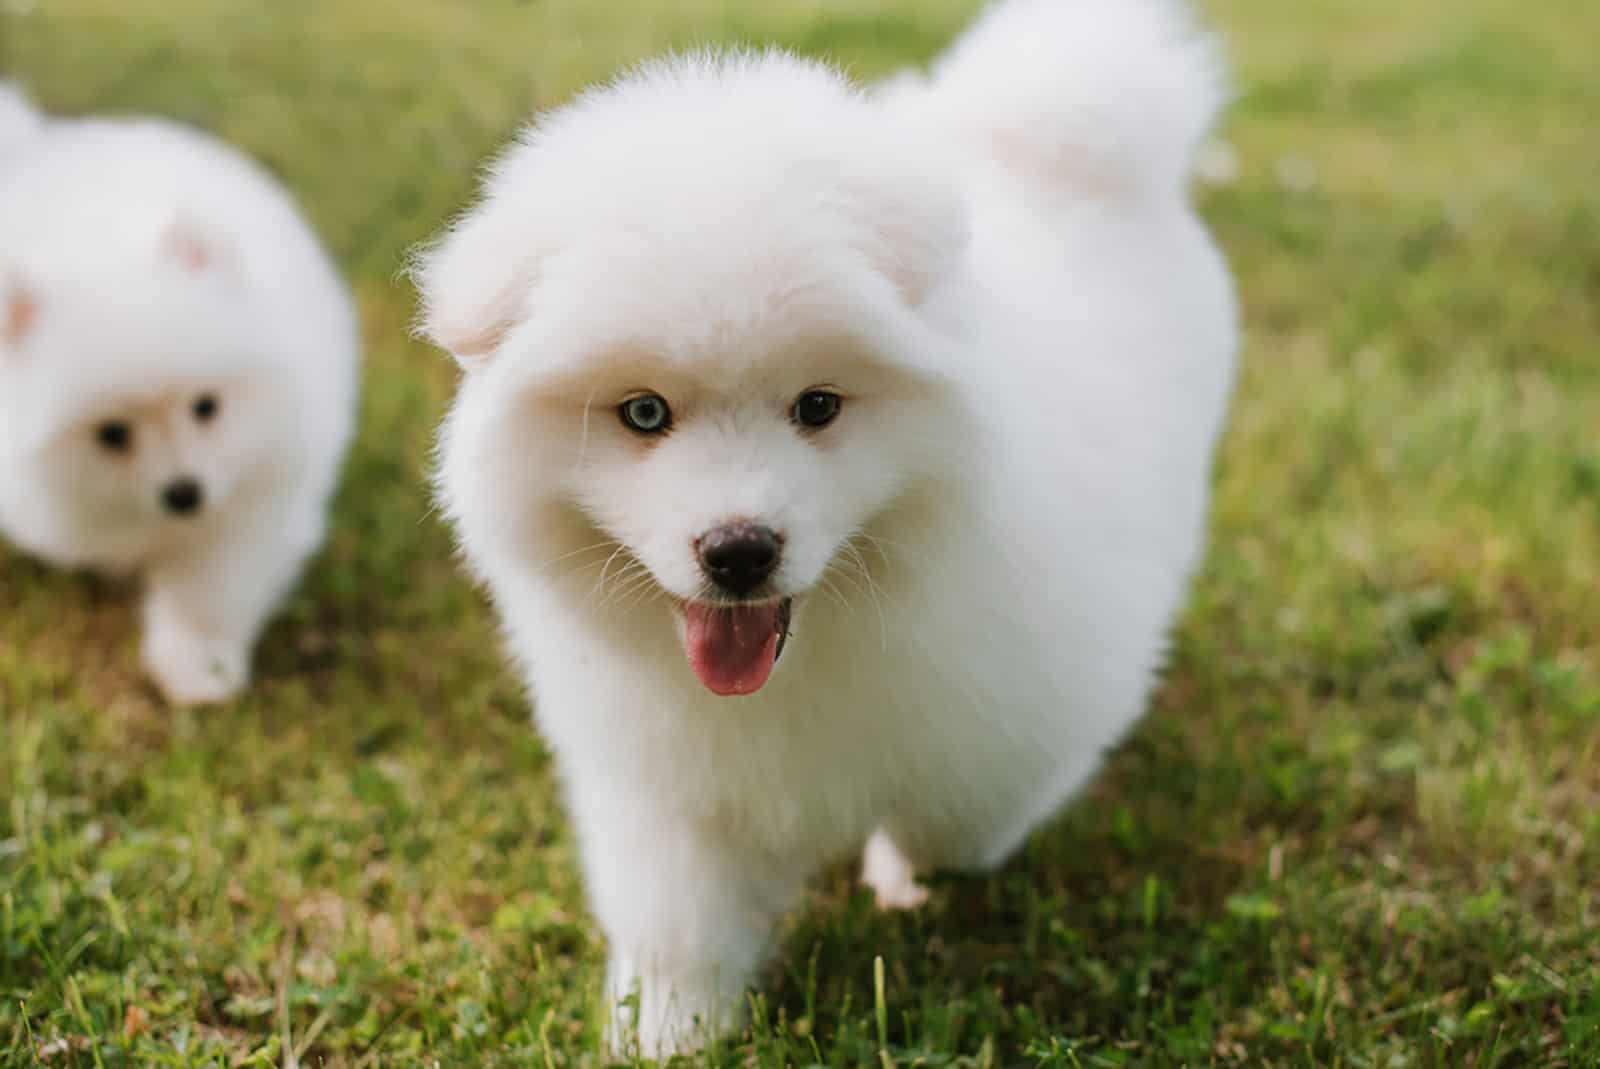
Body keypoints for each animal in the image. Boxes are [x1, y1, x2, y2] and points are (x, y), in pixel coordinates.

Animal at [2, 85, 360, 700]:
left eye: (206, 407)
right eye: (112, 434)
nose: (184, 493)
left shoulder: (254, 500)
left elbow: (208, 587)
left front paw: (199, 667)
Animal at [416, 0, 1235, 1049]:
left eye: (817, 406)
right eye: (643, 413)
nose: (737, 550)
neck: (812, 652)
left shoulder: (1023, 706)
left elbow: (954, 814)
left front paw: (898, 875)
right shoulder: (666, 777)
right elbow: (680, 922)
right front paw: (667, 1031)